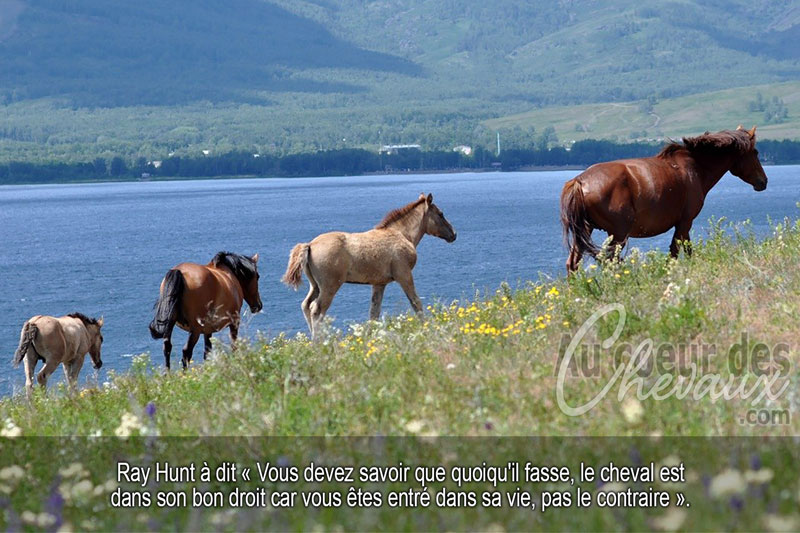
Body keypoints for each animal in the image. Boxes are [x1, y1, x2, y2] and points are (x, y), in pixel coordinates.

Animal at [282, 193, 457, 337]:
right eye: (441, 214)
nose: (453, 234)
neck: (403, 234)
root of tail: (310, 245)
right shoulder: (404, 274)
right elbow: (416, 302)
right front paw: (428, 328)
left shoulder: (379, 283)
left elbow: (374, 312)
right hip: (330, 284)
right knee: (316, 309)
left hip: (315, 285)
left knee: (306, 305)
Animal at [561, 126, 768, 272]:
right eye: (756, 152)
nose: (763, 181)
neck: (695, 167)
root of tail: (579, 181)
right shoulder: (685, 222)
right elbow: (675, 252)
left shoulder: (683, 224)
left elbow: (687, 250)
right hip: (618, 233)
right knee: (610, 260)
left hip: (586, 230)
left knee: (573, 263)